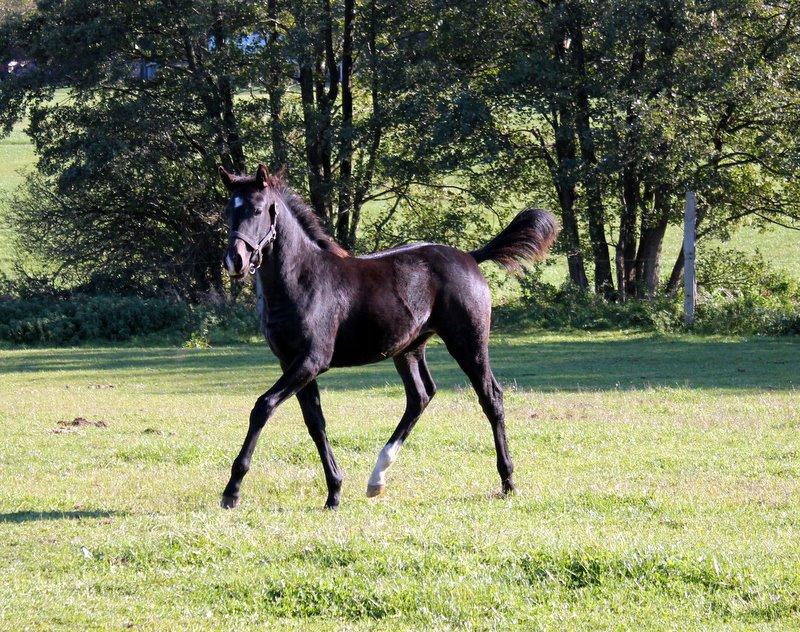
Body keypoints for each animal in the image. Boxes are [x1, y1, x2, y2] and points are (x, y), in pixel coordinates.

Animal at [216, 164, 560, 508]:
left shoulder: (312, 361)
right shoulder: (291, 363)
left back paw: (508, 481)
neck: (302, 280)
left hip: (468, 343)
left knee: (491, 397)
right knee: (420, 396)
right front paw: (334, 492)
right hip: (408, 349)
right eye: (228, 211)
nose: (235, 260)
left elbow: (263, 406)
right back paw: (377, 478)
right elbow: (315, 422)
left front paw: (232, 491)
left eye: (258, 209)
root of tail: (470, 257)